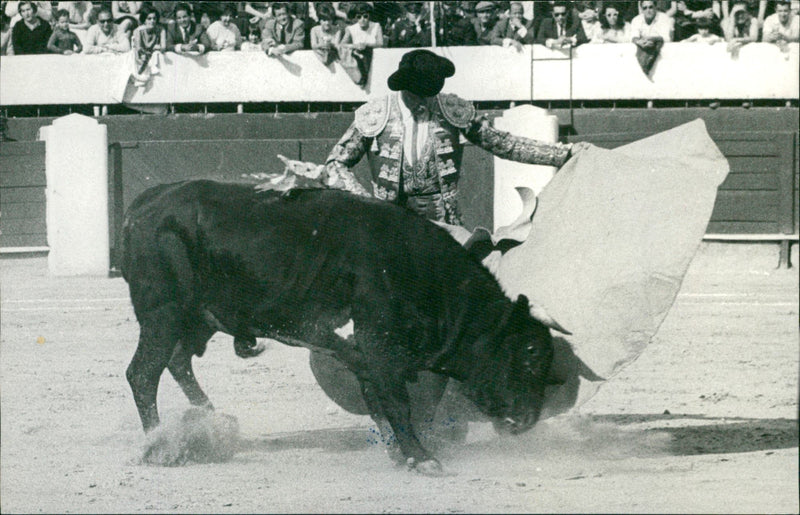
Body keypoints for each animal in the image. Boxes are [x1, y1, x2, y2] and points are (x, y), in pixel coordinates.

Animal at [122, 181, 552, 476]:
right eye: (529, 353)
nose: (530, 419)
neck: (416, 271)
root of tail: (147, 202)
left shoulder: (362, 356)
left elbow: (378, 405)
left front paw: (400, 455)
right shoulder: (380, 347)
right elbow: (397, 403)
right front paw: (423, 459)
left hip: (197, 318)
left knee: (178, 362)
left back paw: (210, 423)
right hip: (163, 314)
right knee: (143, 373)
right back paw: (160, 445)